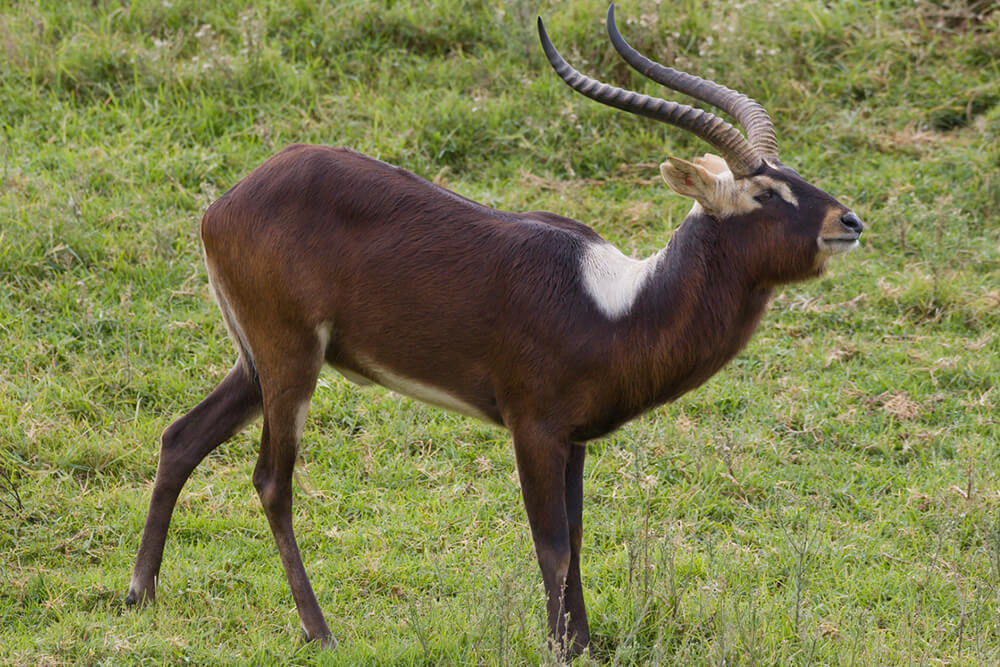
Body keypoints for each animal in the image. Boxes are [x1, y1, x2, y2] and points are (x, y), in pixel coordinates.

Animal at [123, 1, 860, 656]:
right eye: (765, 193)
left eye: (795, 175)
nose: (848, 221)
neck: (619, 304)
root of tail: (225, 203)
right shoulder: (532, 428)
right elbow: (551, 542)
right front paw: (561, 648)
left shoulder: (573, 440)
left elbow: (577, 535)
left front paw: (583, 644)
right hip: (290, 361)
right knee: (272, 481)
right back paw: (319, 631)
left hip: (257, 362)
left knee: (181, 436)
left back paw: (141, 595)